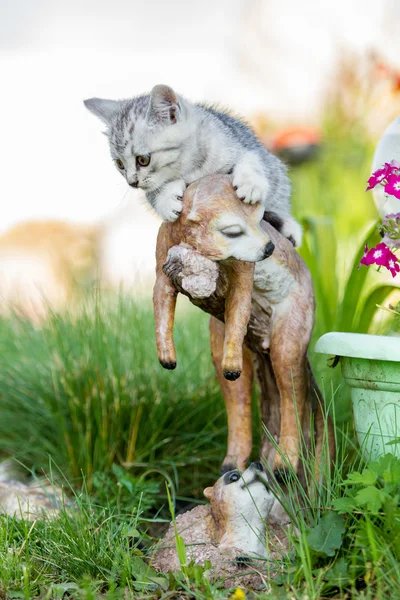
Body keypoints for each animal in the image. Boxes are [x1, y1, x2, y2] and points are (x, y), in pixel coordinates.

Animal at [86, 84, 302, 246]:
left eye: (143, 160)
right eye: (120, 164)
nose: (132, 182)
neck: (190, 167)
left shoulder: (248, 149)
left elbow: (251, 160)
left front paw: (250, 184)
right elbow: (153, 192)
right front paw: (165, 200)